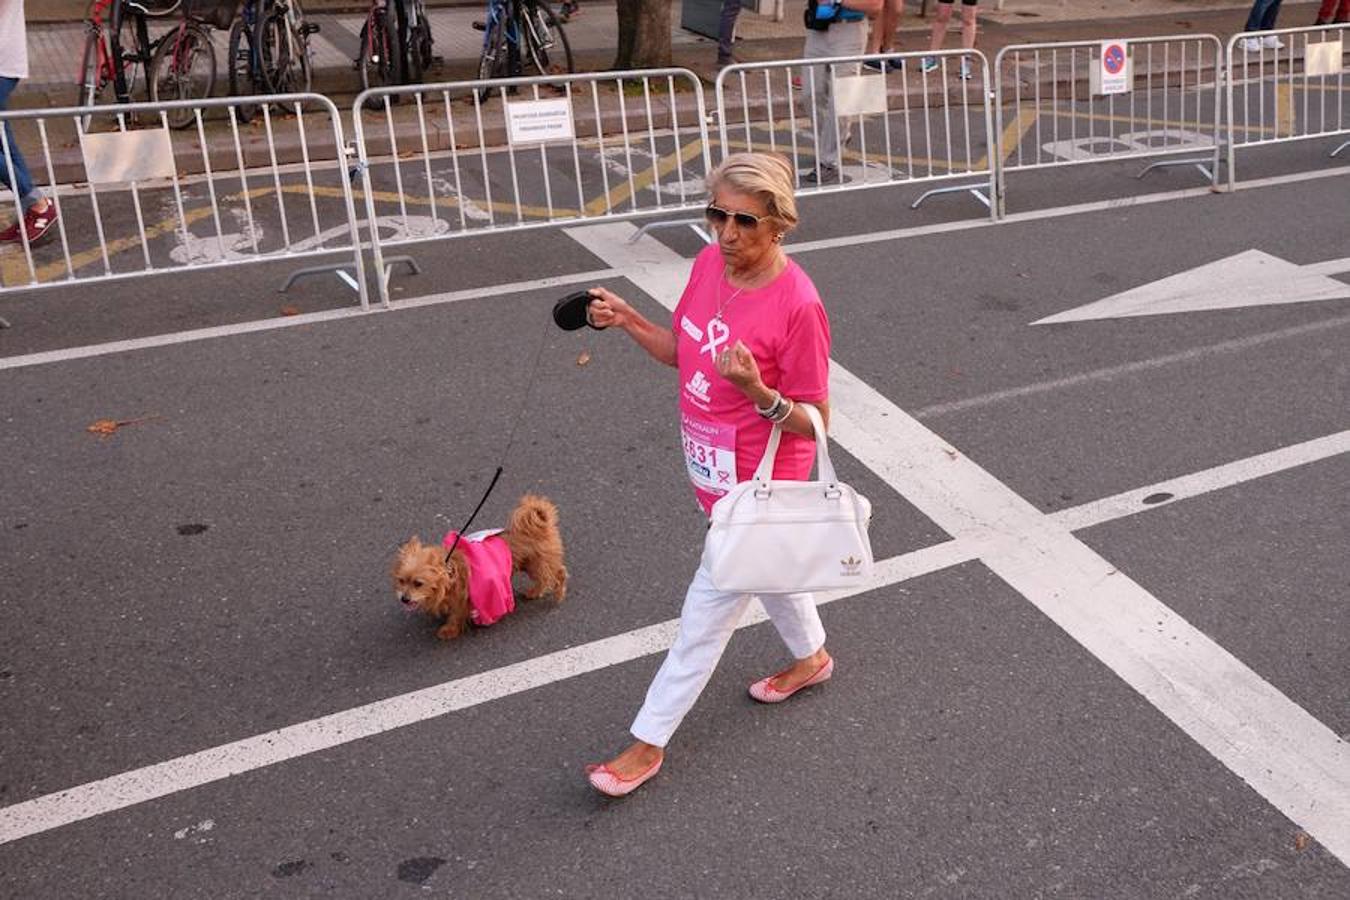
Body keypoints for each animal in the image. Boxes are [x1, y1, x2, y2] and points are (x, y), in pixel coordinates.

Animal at [391, 493, 564, 639]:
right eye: (401, 581)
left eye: (418, 583)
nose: (404, 599)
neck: (449, 573)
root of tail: (539, 523)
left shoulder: (463, 598)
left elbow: (457, 615)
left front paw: (450, 629)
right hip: (531, 565)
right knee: (545, 579)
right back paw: (535, 592)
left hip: (538, 564)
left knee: (557, 575)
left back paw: (559, 593)